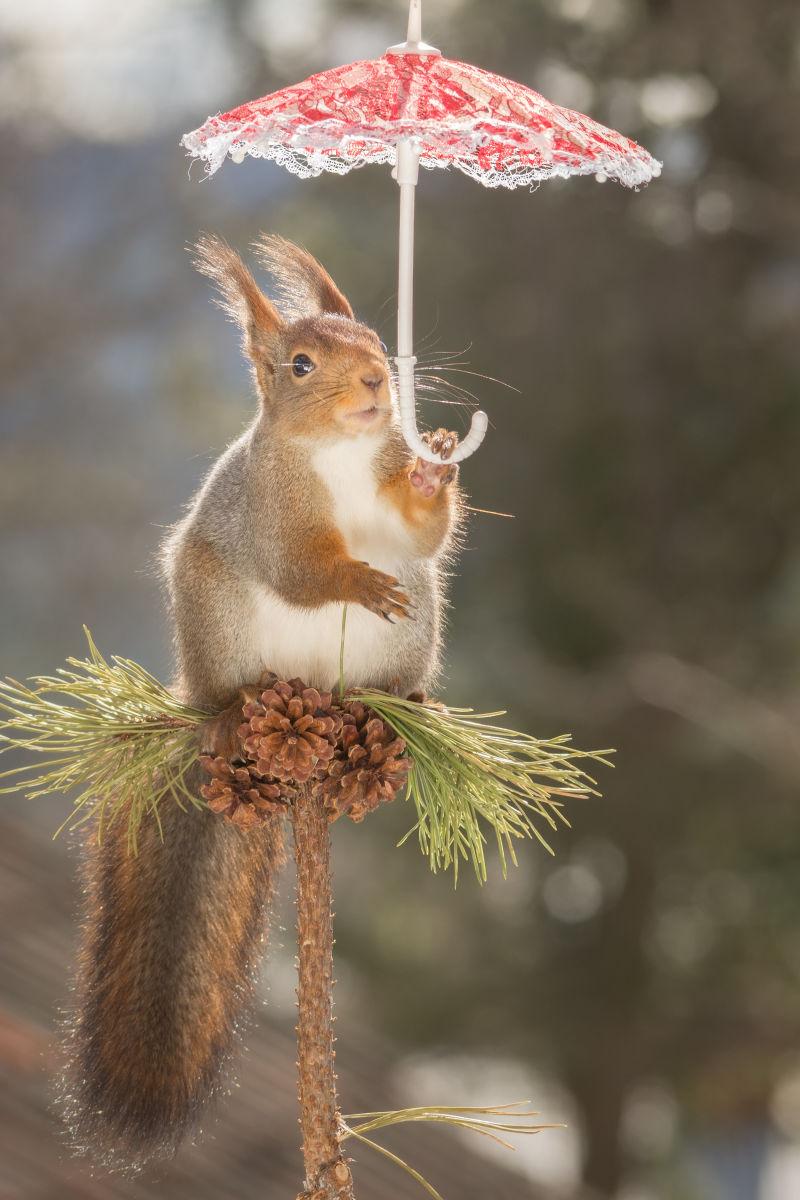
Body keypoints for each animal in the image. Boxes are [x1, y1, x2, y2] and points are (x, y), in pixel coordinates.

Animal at [64, 231, 462, 1161]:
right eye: (301, 365)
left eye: (376, 339)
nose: (376, 382)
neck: (340, 457)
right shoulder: (272, 513)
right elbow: (302, 569)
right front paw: (353, 576)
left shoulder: (395, 498)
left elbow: (422, 534)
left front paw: (434, 474)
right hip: (218, 615)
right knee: (233, 681)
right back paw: (238, 709)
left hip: (415, 621)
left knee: (405, 621)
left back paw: (403, 704)